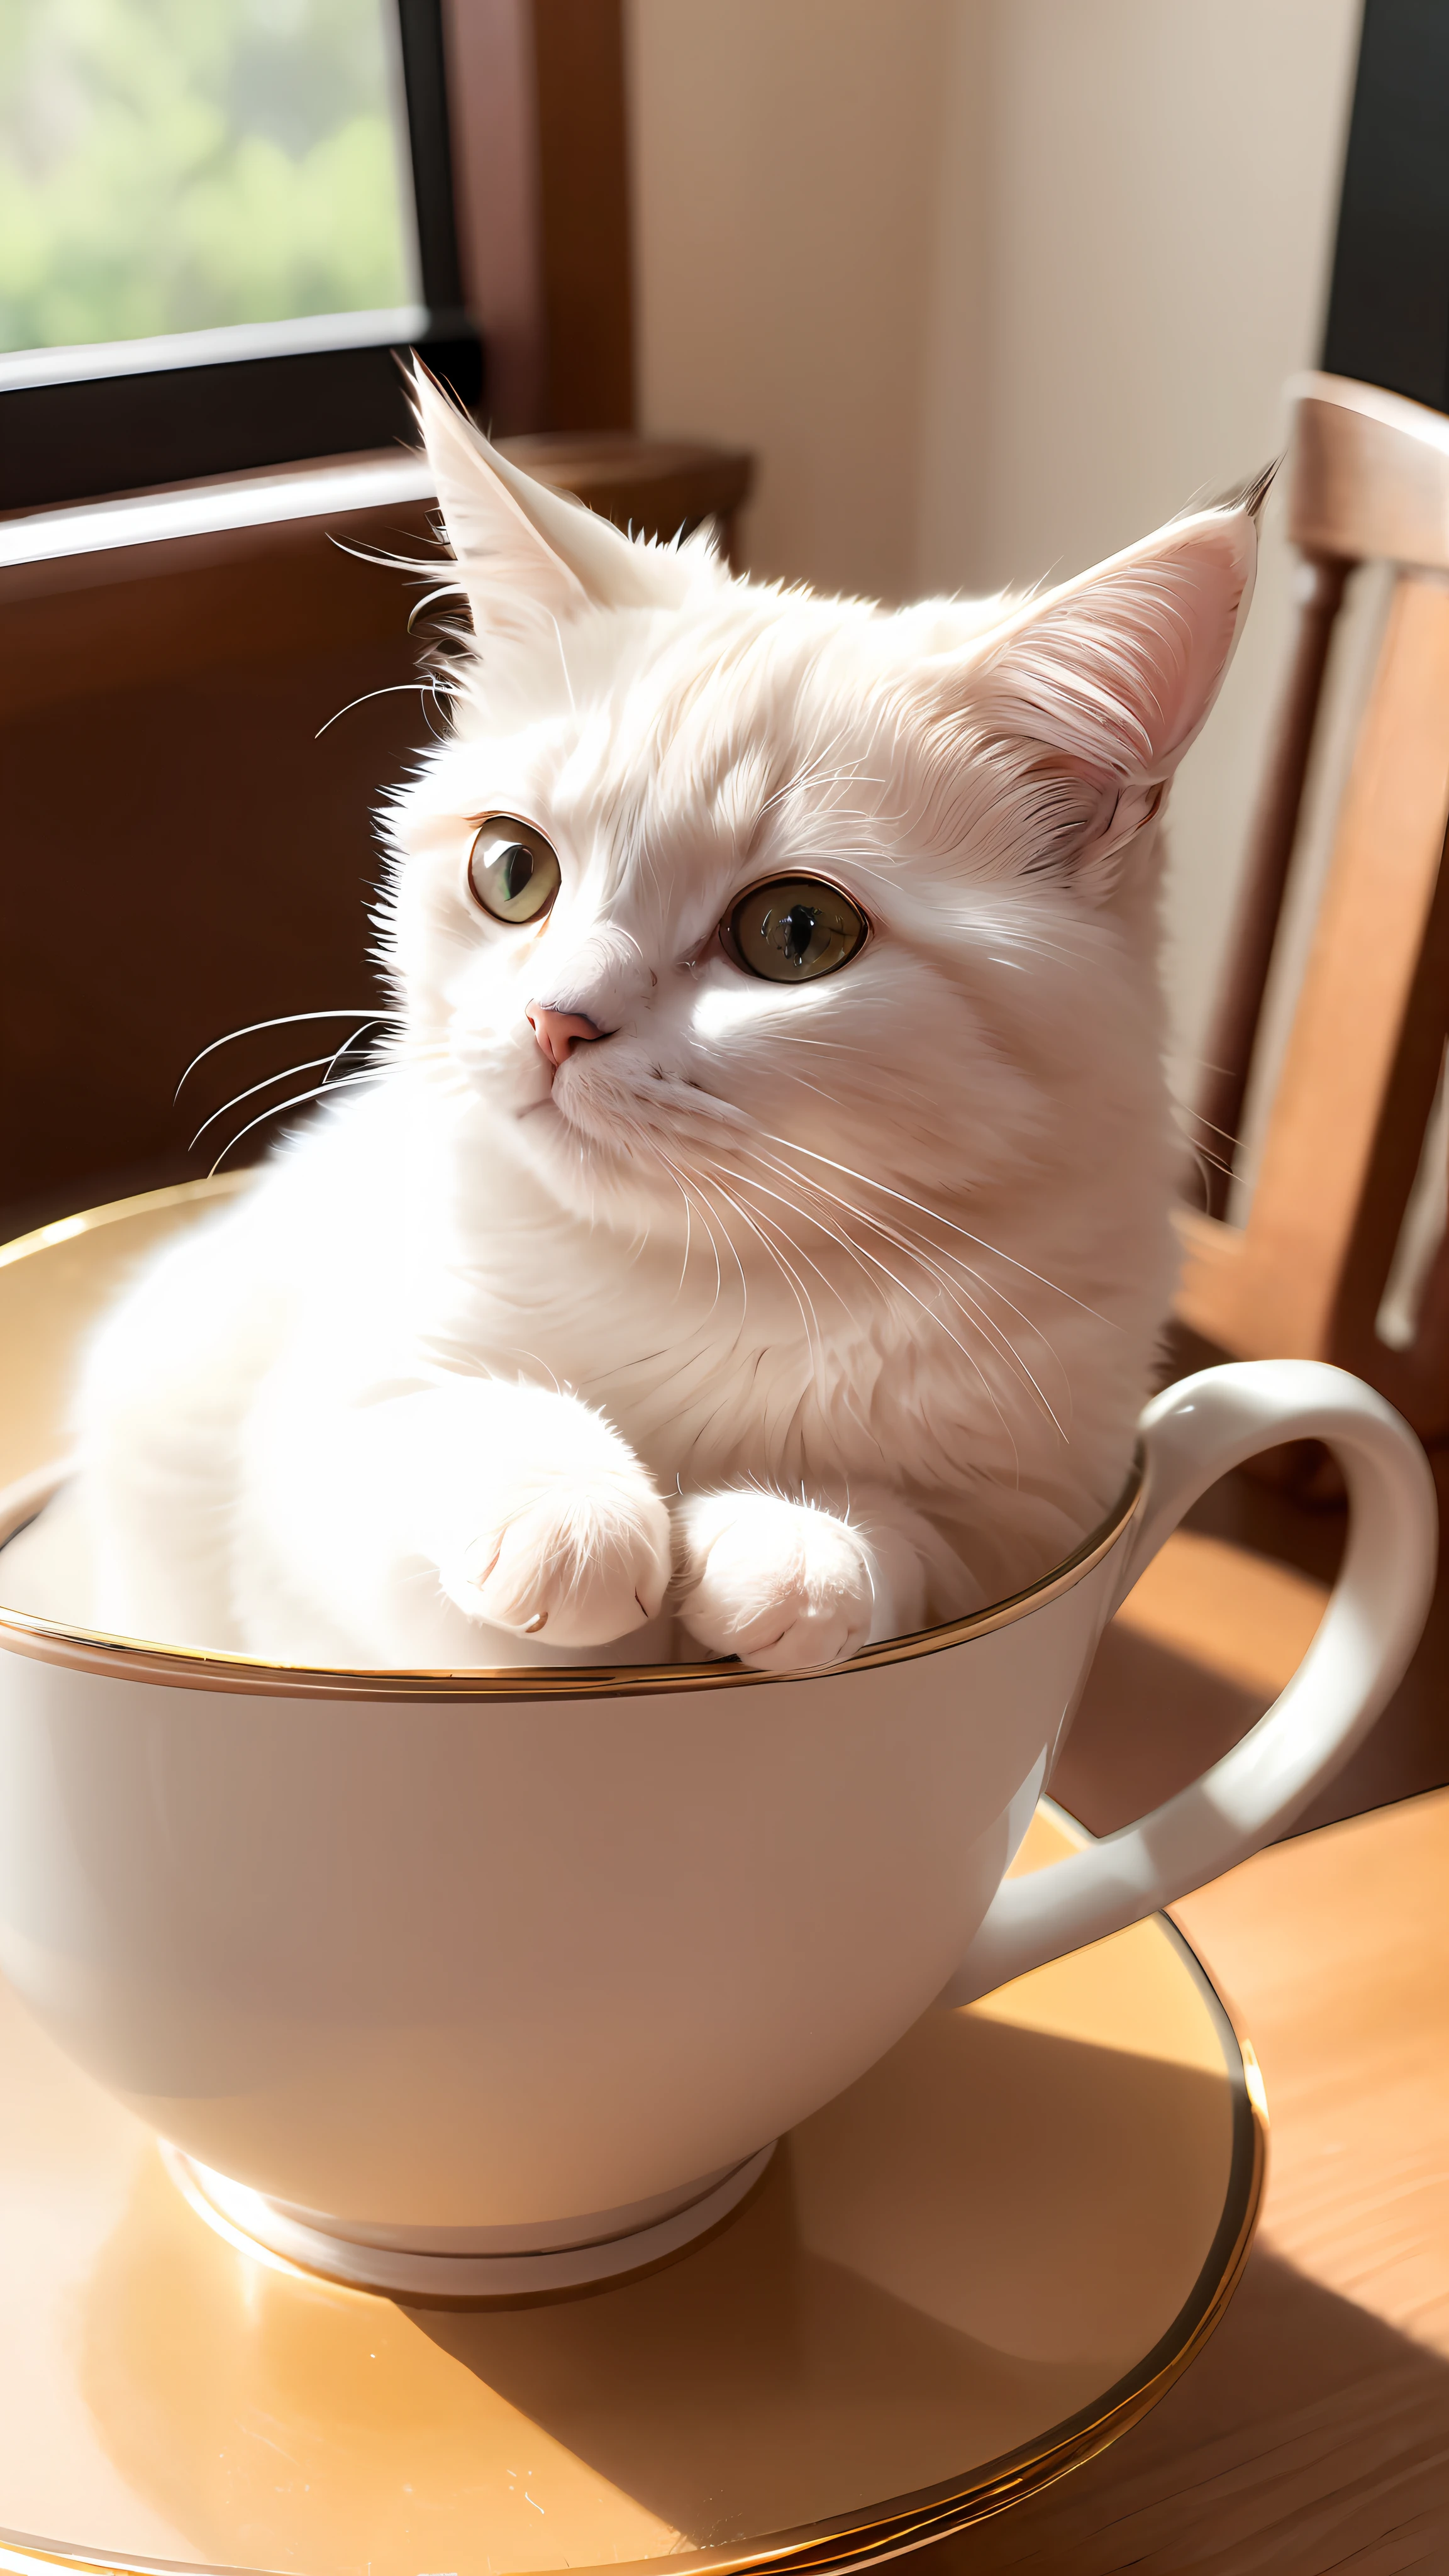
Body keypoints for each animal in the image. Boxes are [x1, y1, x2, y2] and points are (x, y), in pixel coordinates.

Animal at [59, 376, 1253, 1669]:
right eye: (513, 870)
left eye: (796, 934)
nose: (555, 1021)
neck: (706, 1283)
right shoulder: (323, 1440)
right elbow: (419, 1420)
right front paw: (566, 1509)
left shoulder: (1028, 1511)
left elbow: (909, 1532)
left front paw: (799, 1540)